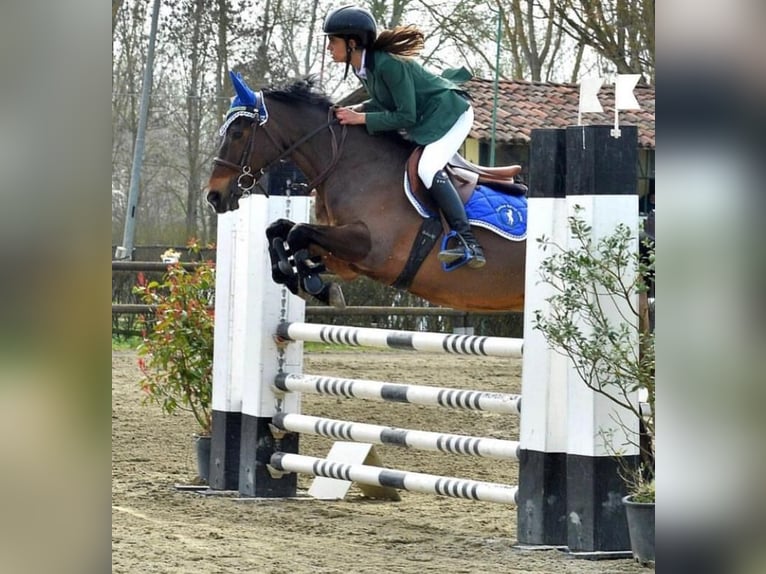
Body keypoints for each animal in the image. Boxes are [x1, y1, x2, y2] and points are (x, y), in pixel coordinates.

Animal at [206, 75, 528, 316]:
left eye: (237, 133)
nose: (213, 196)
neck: (354, 166)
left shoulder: (372, 249)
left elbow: (297, 232)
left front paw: (306, 279)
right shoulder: (347, 258)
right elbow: (278, 229)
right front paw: (303, 278)